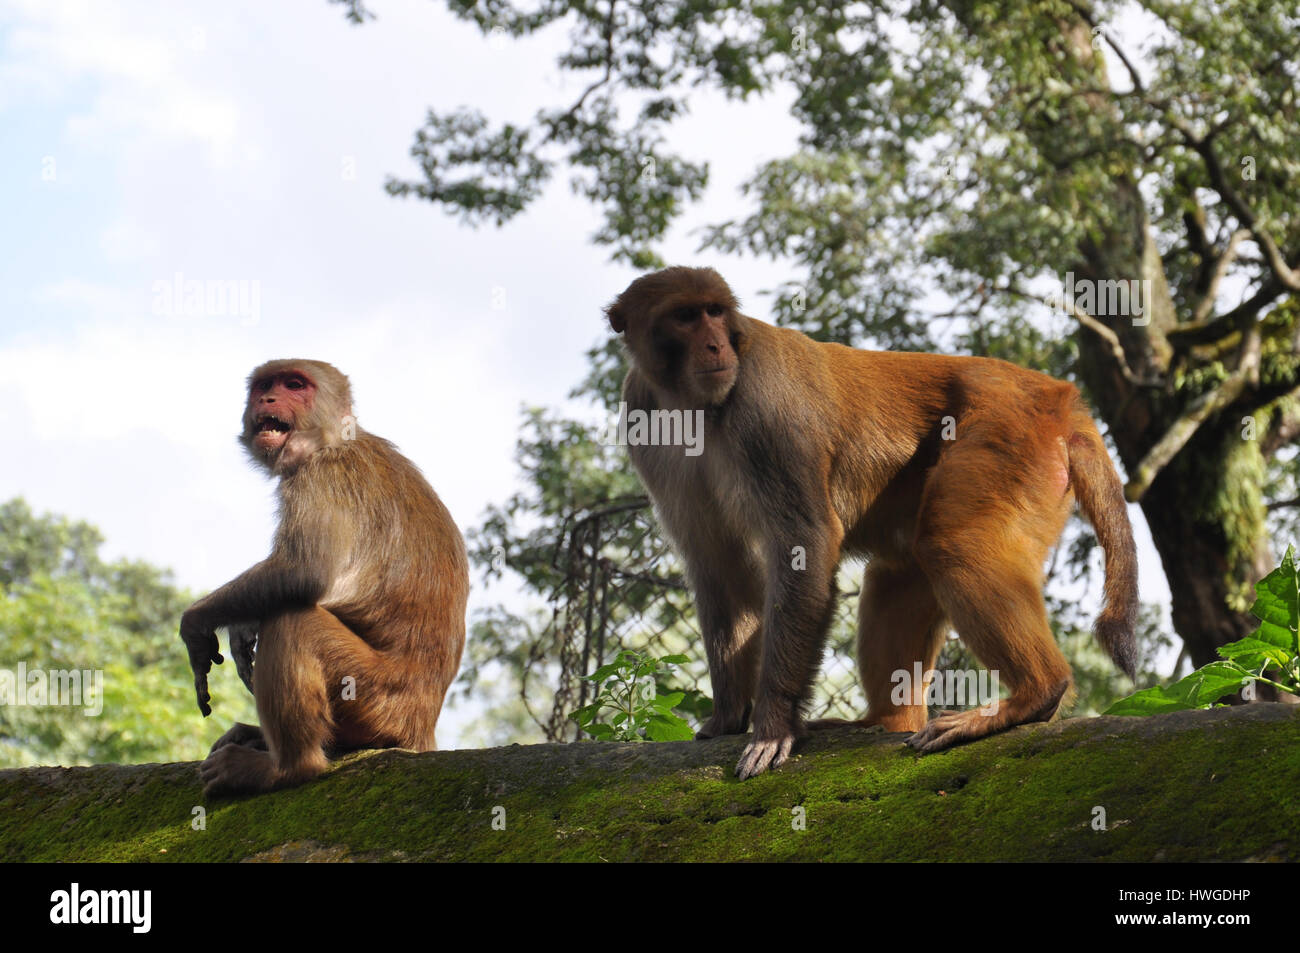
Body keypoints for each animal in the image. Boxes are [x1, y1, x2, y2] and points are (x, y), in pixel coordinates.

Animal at [179, 356, 467, 795]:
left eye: (295, 385)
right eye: (264, 385)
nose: (267, 398)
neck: (335, 439)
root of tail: (422, 725)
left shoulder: (322, 475)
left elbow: (303, 574)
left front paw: (195, 623)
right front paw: (241, 628)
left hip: (377, 699)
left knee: (293, 621)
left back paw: (287, 767)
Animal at [608, 263, 1138, 774]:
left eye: (715, 312)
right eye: (686, 316)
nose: (716, 343)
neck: (694, 404)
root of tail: (1061, 399)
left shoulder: (765, 407)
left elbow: (806, 542)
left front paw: (773, 724)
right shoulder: (643, 417)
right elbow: (716, 560)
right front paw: (727, 718)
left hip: (1009, 435)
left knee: (953, 543)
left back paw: (1035, 694)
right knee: (902, 571)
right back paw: (888, 720)